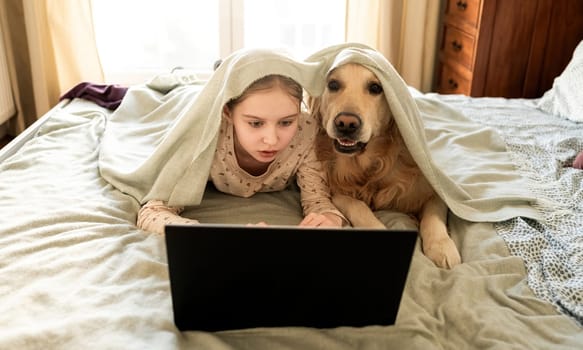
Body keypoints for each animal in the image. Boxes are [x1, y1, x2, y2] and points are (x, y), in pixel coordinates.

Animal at [312, 63, 464, 270]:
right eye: (333, 85)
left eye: (376, 88)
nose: (346, 124)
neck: (371, 167)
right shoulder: (335, 191)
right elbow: (358, 205)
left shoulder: (431, 189)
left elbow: (433, 216)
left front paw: (441, 246)